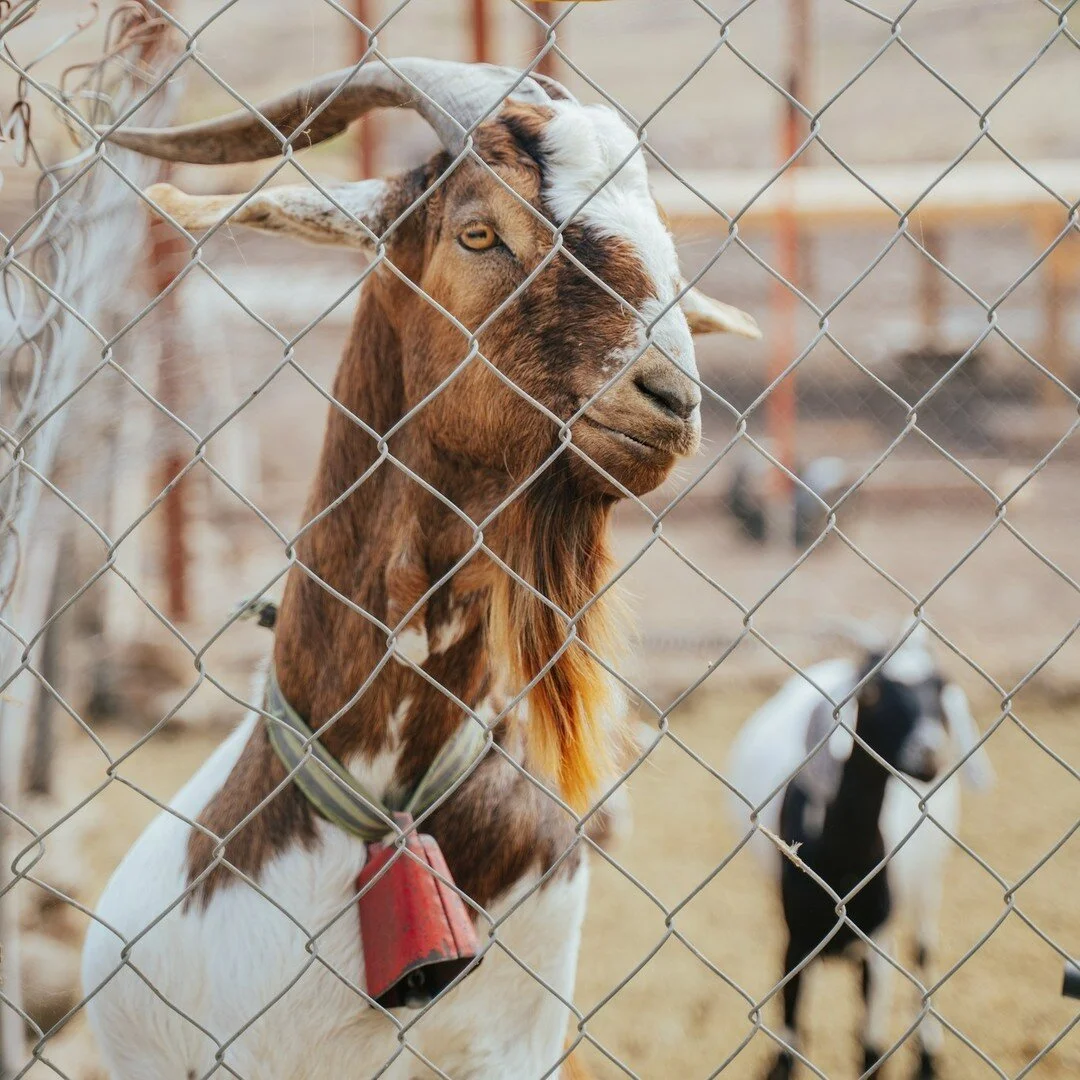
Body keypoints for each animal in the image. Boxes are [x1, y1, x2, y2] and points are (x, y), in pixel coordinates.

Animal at [730, 630, 989, 1080]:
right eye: (871, 692)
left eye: (941, 687)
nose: (927, 753)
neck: (842, 867)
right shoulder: (796, 939)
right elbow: (790, 1038)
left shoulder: (878, 944)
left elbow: (870, 1049)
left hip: (929, 878)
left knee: (924, 951)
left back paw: (928, 1056)